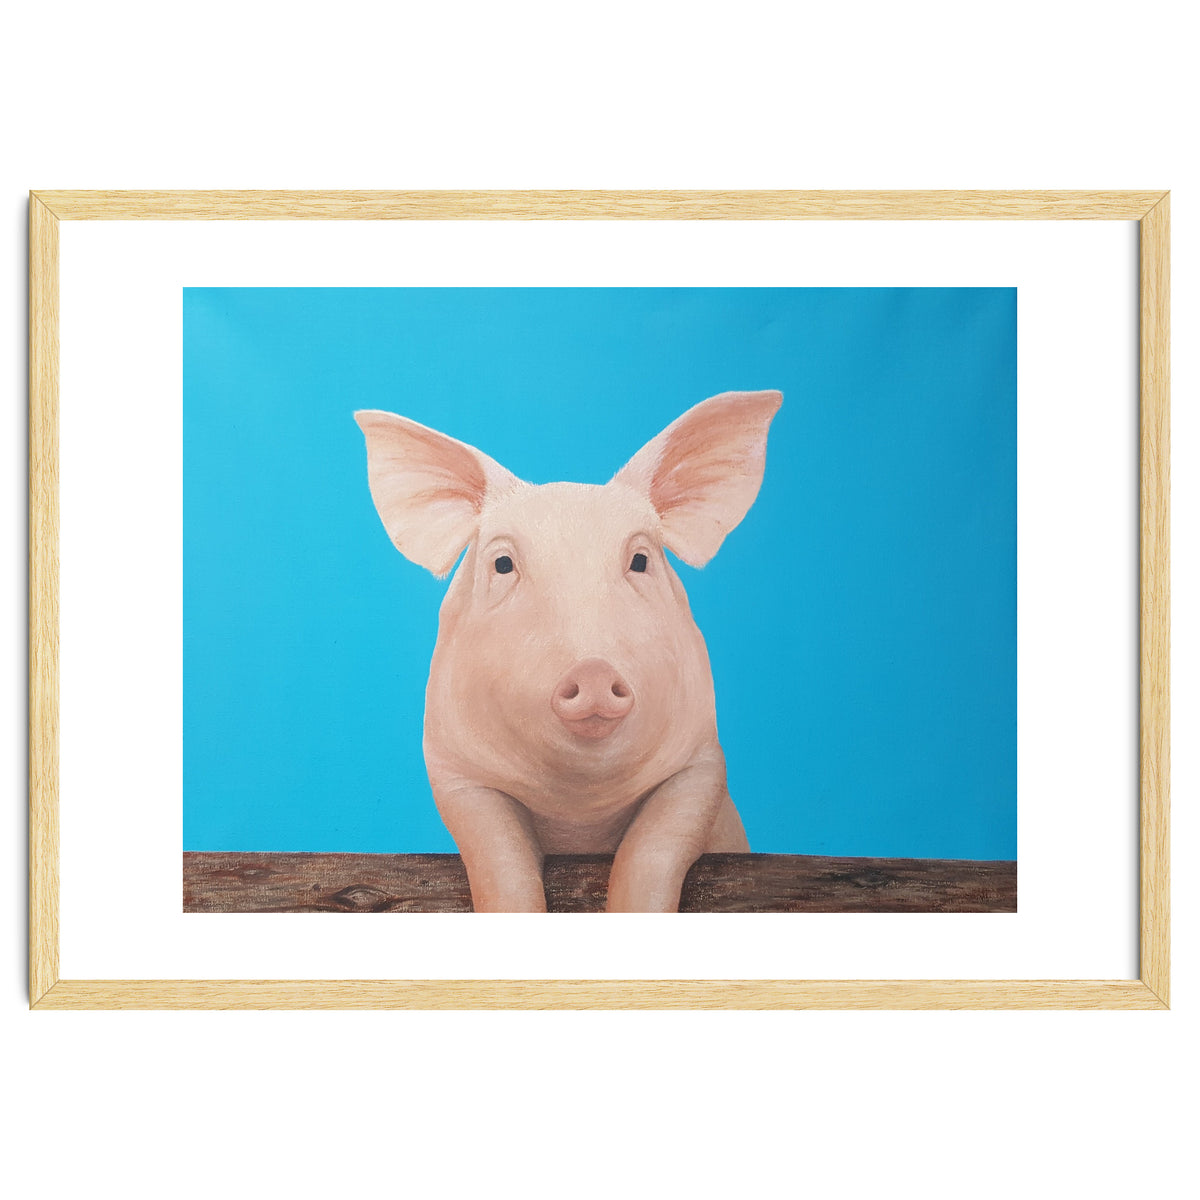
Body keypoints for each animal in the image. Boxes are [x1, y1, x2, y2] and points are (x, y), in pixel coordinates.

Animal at [355, 389, 782, 912]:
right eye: (502, 564)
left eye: (640, 560)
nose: (594, 670)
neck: (579, 809)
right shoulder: (455, 772)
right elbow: (499, 859)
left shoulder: (701, 763)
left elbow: (652, 850)